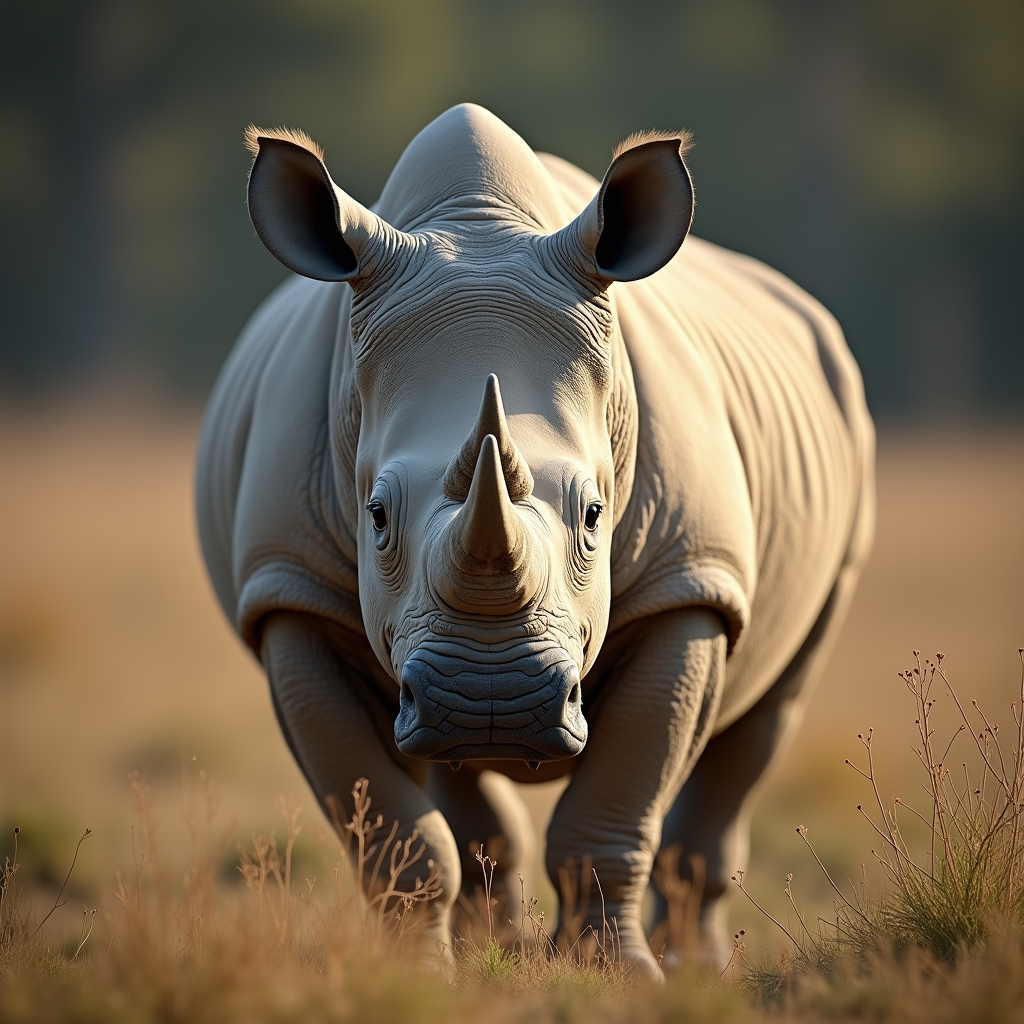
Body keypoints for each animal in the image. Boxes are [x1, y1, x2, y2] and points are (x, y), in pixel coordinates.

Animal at [196, 103, 874, 975]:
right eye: (374, 515)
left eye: (594, 516)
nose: (492, 702)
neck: (478, 227)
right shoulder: (289, 591)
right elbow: (390, 828)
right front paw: (415, 977)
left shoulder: (689, 580)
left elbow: (617, 803)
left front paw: (625, 978)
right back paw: (496, 941)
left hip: (843, 418)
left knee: (768, 712)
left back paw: (698, 966)